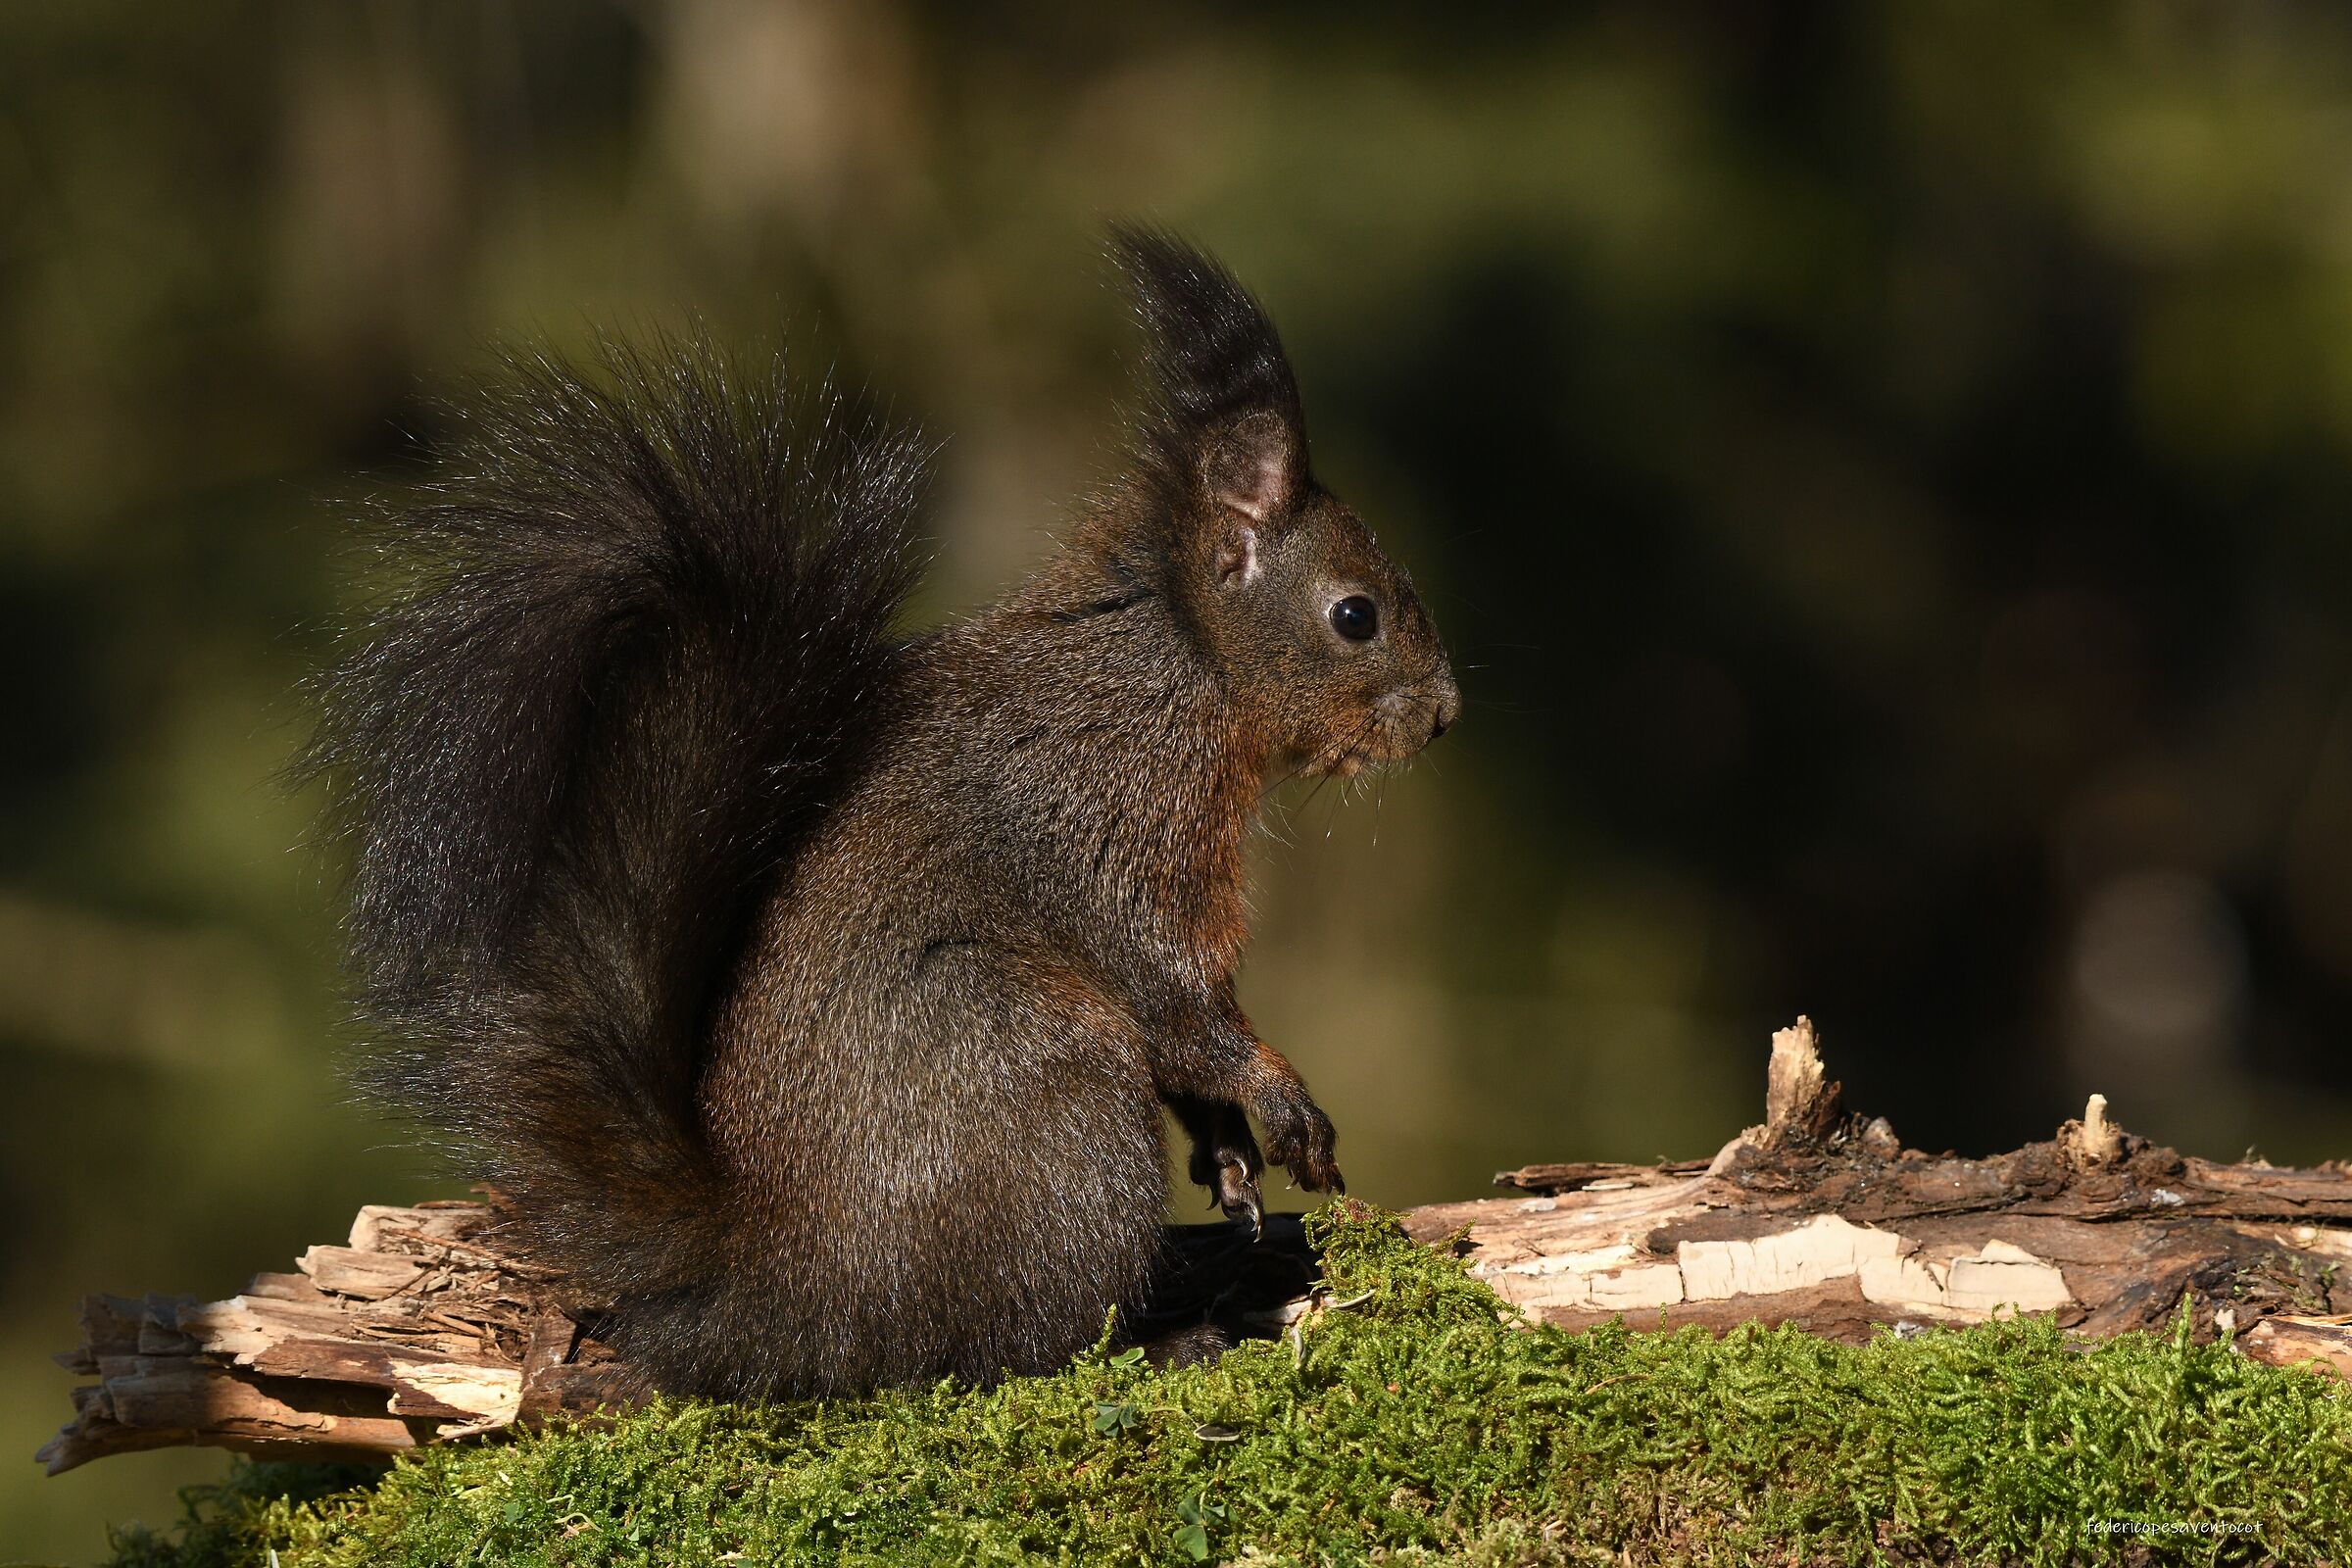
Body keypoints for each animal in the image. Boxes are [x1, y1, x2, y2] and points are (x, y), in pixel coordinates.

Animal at [302, 230, 1459, 1400]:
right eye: (1355, 616)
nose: (1445, 716)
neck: (1178, 659)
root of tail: (790, 1286)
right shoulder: (1108, 817)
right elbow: (1174, 998)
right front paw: (1279, 1100)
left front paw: (1226, 1154)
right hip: (1042, 1076)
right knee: (1013, 1348)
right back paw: (1163, 1339)